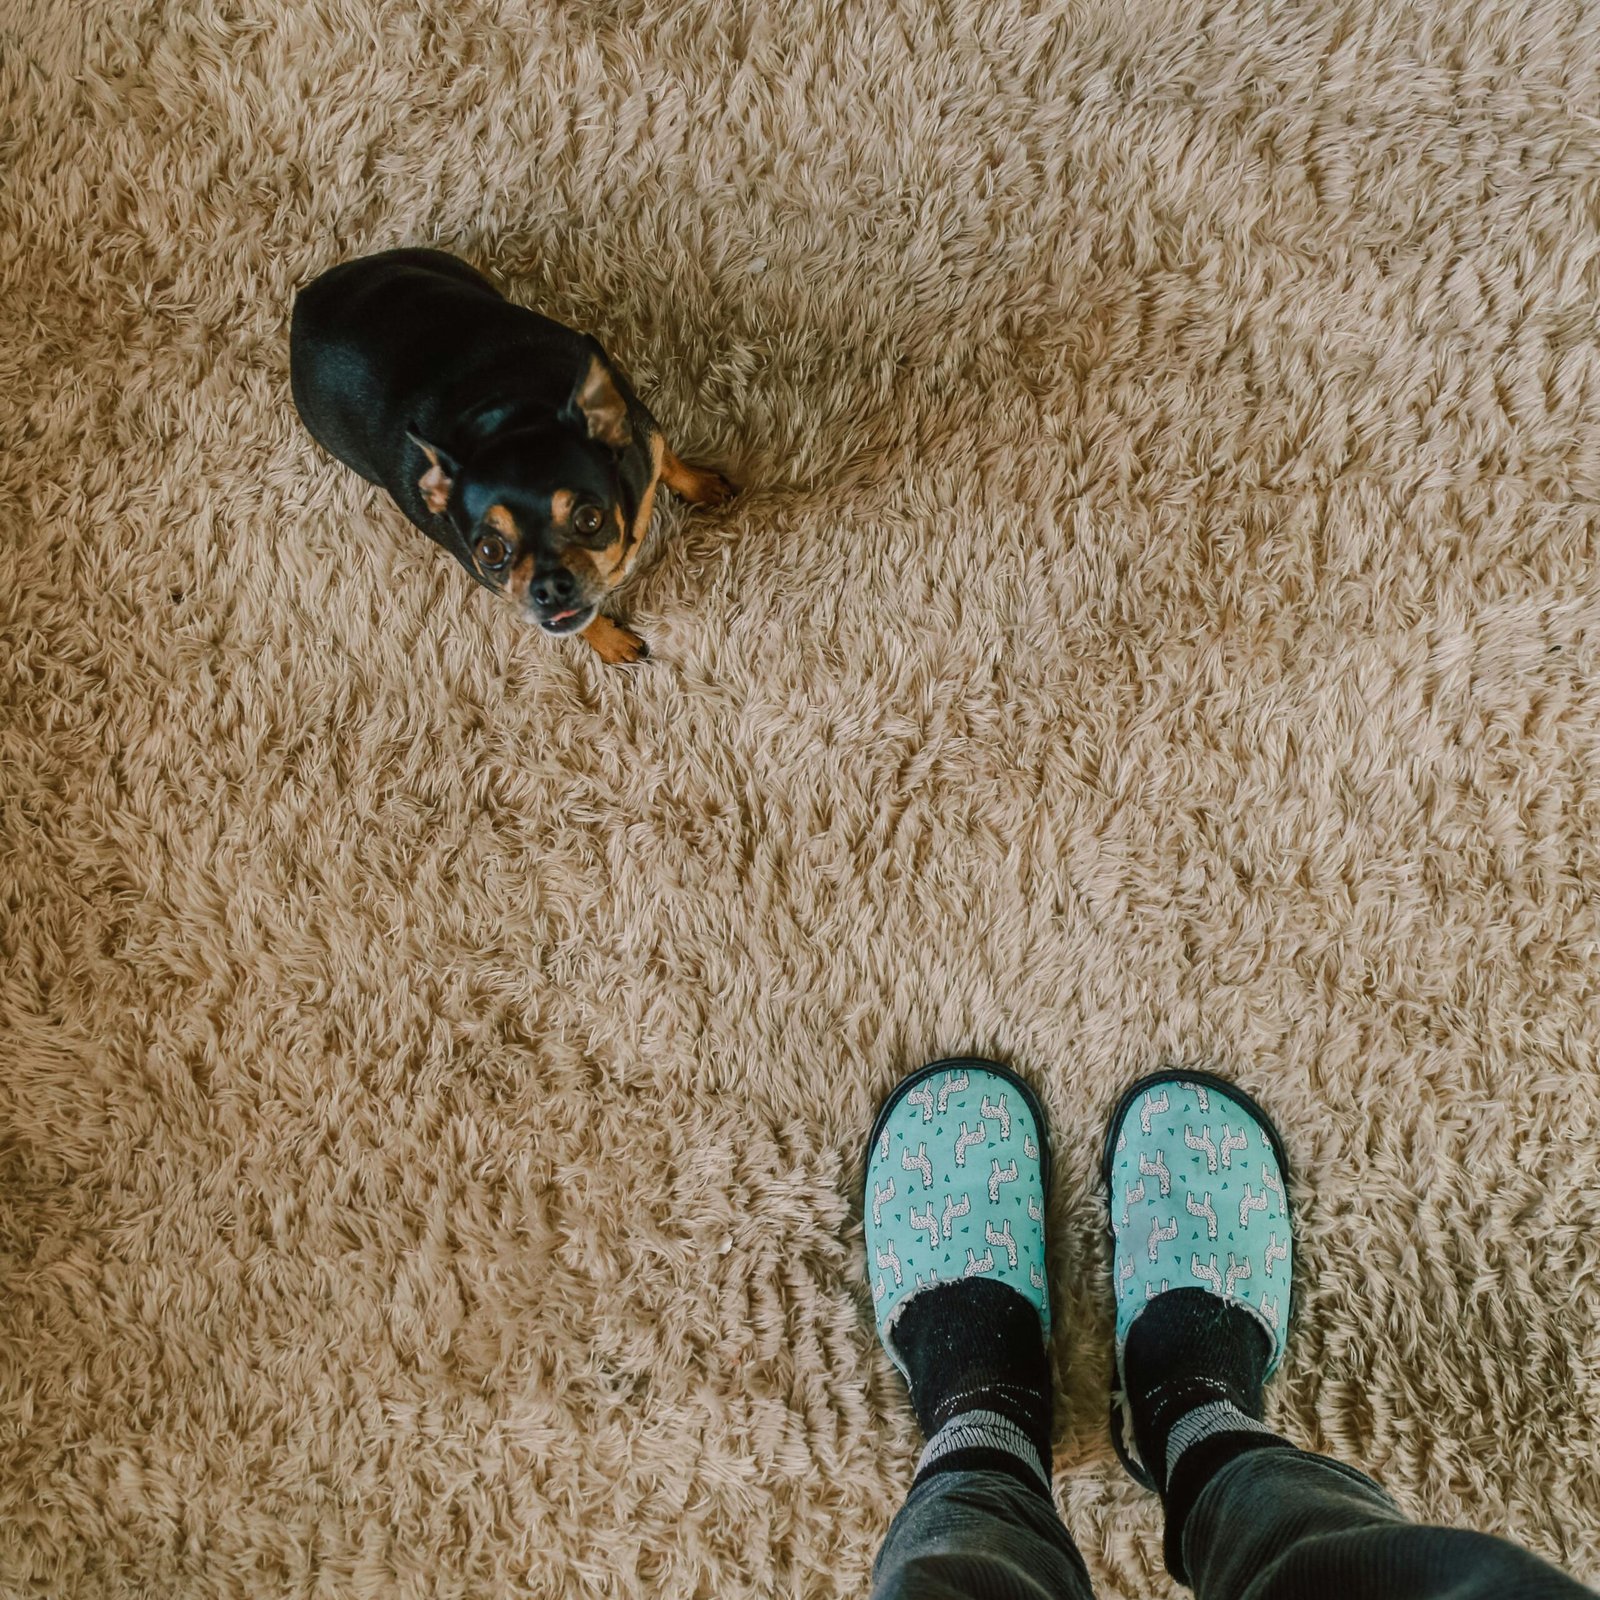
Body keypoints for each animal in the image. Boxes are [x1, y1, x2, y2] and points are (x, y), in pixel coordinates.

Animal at [291, 246, 732, 659]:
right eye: (489, 551)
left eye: (589, 519)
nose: (549, 587)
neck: (512, 418)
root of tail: (304, 301)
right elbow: (583, 623)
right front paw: (610, 642)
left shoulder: (646, 437)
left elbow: (669, 462)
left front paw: (703, 487)